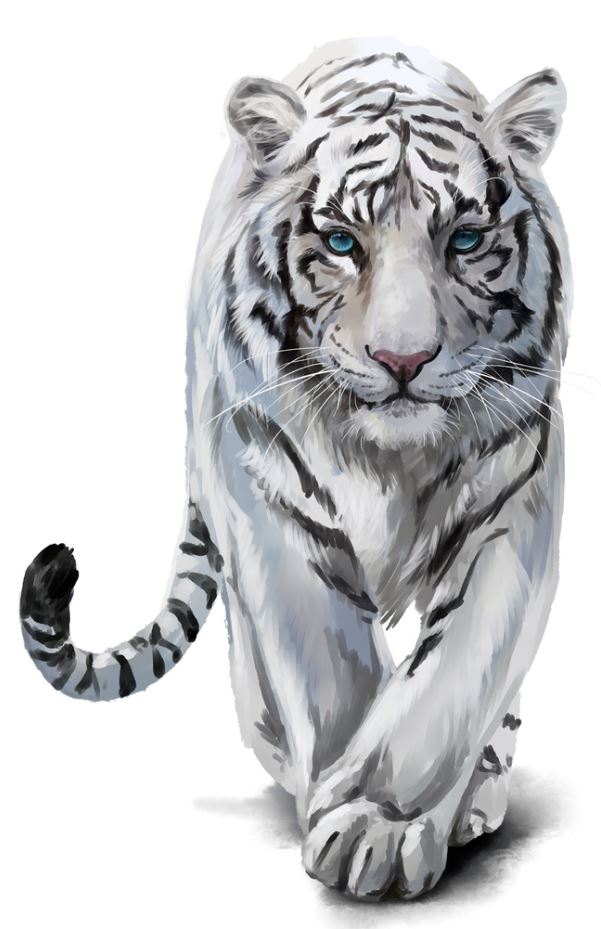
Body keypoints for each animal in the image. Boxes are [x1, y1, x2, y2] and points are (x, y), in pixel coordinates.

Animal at [20, 37, 570, 901]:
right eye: (342, 243)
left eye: (464, 241)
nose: (403, 360)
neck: (390, 458)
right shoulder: (268, 498)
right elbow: (327, 667)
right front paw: (350, 814)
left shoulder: (510, 499)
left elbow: (456, 673)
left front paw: (381, 819)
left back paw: (477, 795)